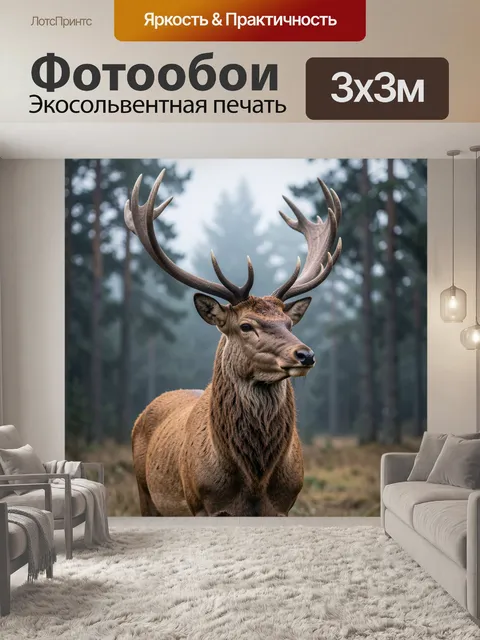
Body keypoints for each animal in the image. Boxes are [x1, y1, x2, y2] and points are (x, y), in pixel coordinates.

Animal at [125, 170, 342, 516]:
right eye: (246, 325)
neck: (254, 482)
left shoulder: (283, 505)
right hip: (145, 493)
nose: (305, 354)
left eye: (289, 323)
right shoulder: (202, 504)